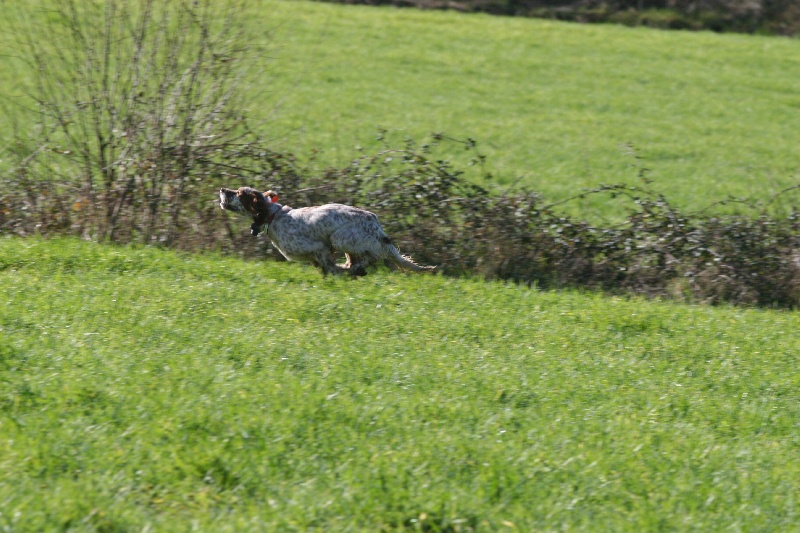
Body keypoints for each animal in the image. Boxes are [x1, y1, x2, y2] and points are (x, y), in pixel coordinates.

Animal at [217, 187, 438, 276]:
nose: (222, 189)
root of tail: (376, 224)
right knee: (357, 259)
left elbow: (329, 266)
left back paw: (354, 269)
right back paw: (352, 268)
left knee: (371, 256)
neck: (273, 217)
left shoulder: (320, 248)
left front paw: (337, 273)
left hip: (340, 237)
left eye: (239, 193)